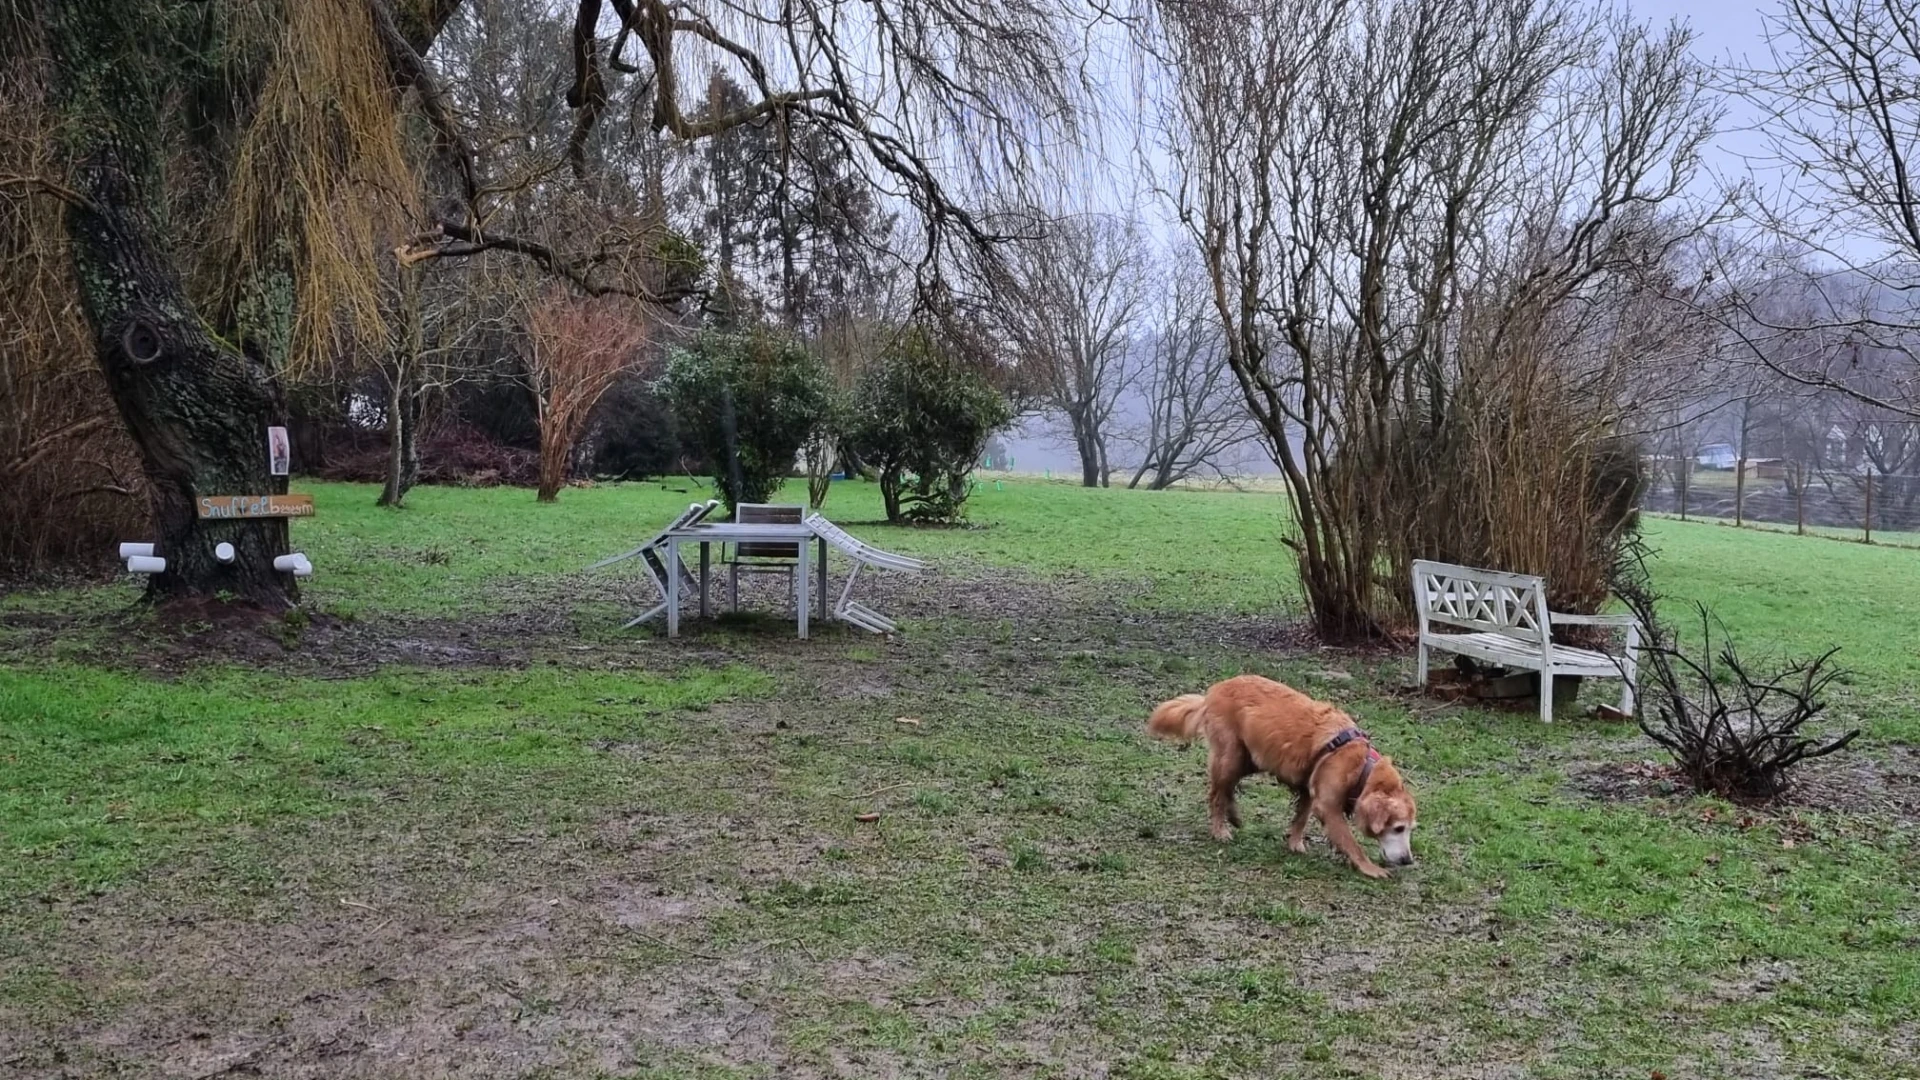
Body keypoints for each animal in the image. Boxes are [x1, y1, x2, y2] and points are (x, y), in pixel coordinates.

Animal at [1144, 672, 1420, 876]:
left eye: (1410, 829)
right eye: (1398, 828)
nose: (1407, 860)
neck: (1361, 765)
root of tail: (1214, 690)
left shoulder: (1309, 788)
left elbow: (1300, 818)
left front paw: (1295, 843)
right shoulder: (1327, 806)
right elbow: (1351, 842)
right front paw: (1369, 868)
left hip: (1252, 758)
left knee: (1227, 788)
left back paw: (1234, 816)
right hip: (1231, 757)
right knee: (1216, 793)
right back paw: (1220, 830)